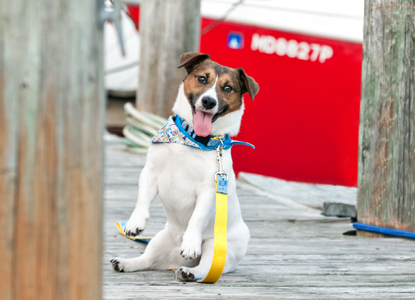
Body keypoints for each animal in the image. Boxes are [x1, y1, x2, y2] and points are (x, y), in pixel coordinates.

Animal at [112, 52, 258, 282]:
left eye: (227, 88)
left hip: (216, 247)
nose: (208, 101)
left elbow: (196, 219)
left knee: (206, 268)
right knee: (148, 260)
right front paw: (135, 222)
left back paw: (190, 271)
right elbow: (142, 199)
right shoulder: (150, 172)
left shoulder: (209, 190)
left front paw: (190, 243)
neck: (191, 139)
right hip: (160, 241)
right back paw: (126, 263)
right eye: (202, 78)